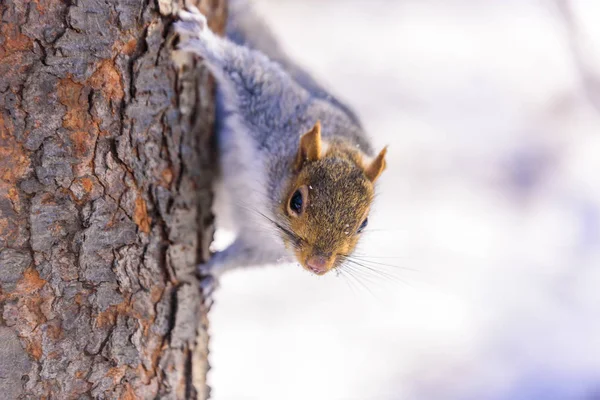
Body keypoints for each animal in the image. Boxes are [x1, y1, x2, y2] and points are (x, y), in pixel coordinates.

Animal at [173, 3, 390, 280]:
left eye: (363, 223)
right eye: (296, 201)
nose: (318, 265)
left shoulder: (264, 245)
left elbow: (244, 256)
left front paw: (211, 273)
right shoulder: (272, 111)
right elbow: (249, 70)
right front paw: (202, 37)